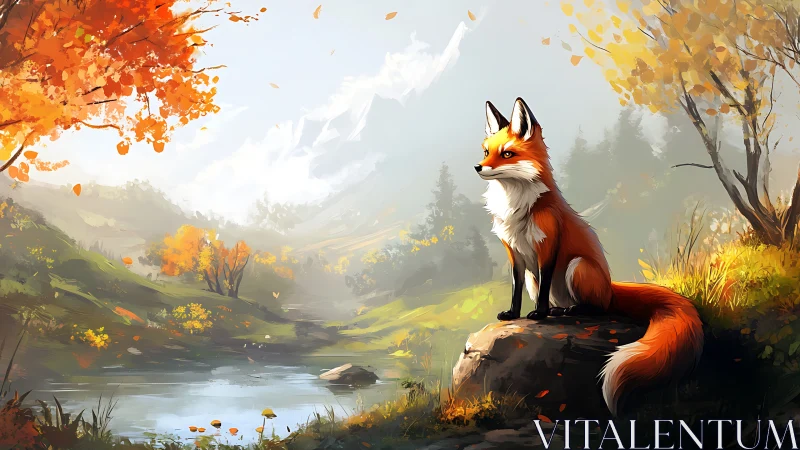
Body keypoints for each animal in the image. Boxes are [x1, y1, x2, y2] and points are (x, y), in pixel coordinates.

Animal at [475, 97, 704, 416]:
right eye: (486, 152)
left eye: (507, 154)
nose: (478, 167)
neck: (517, 208)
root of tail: (610, 286)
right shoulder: (516, 255)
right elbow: (515, 289)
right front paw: (512, 313)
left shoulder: (547, 248)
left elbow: (544, 289)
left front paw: (540, 314)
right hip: (546, 276)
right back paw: (559, 311)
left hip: (577, 266)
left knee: (597, 307)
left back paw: (570, 311)